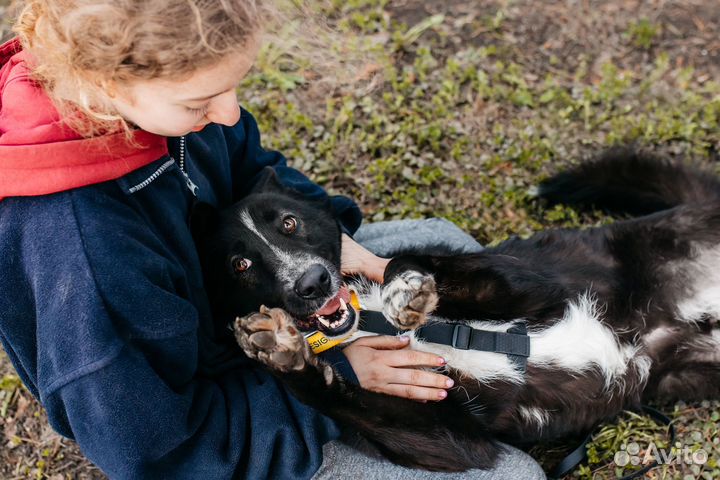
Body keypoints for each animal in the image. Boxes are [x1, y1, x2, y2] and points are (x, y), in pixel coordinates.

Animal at [190, 150, 720, 472]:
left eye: (289, 223)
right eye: (240, 264)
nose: (313, 282)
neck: (367, 321)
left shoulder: (527, 285)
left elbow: (411, 261)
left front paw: (406, 291)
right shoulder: (454, 442)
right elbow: (336, 395)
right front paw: (280, 352)